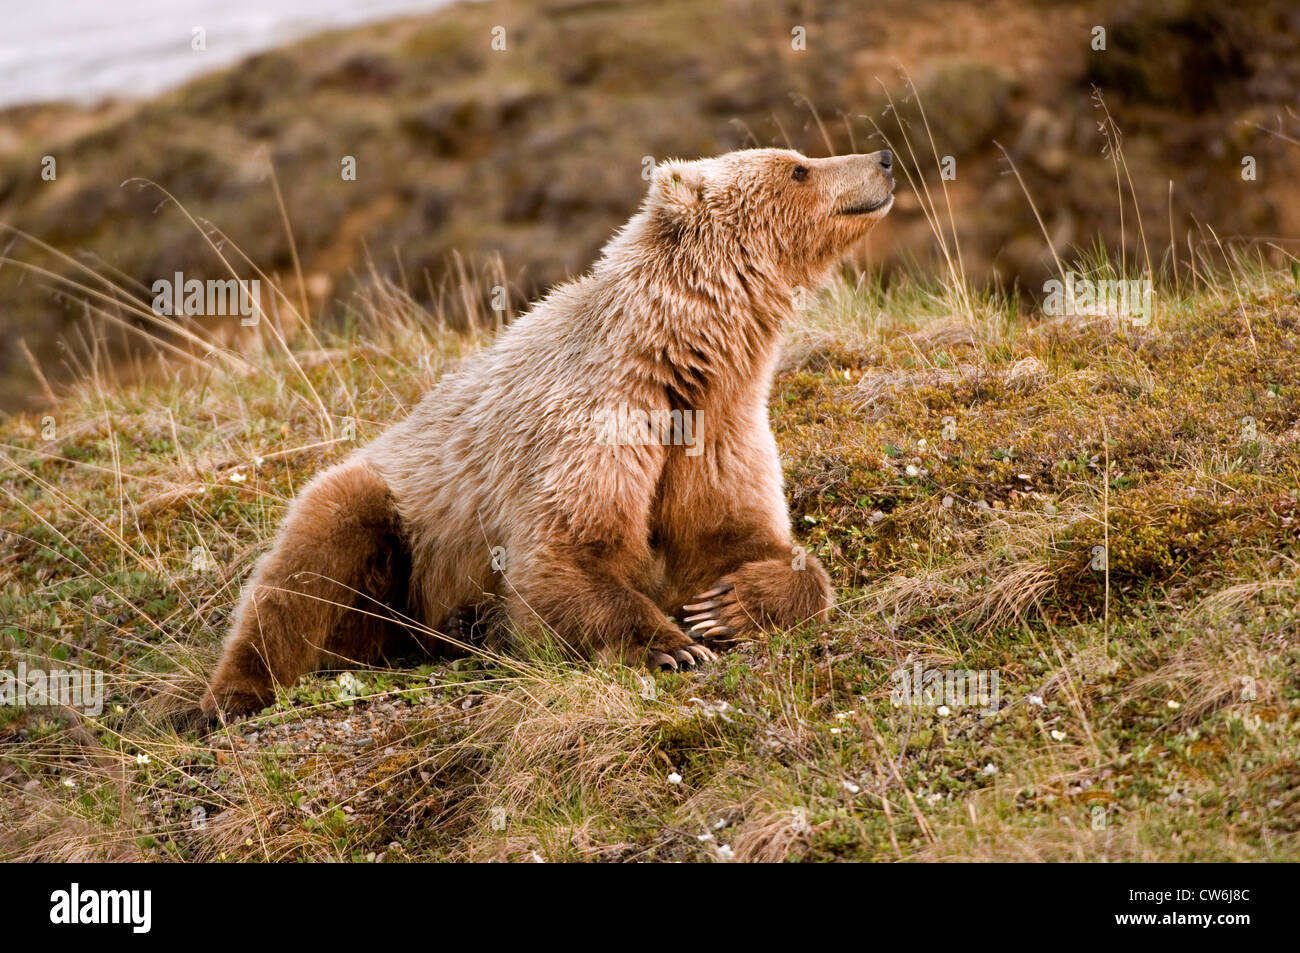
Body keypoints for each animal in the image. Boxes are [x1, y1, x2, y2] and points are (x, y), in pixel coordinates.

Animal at [200, 146, 894, 712]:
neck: (678, 365)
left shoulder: (719, 431)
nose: (884, 158)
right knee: (304, 566)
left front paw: (726, 605)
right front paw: (669, 644)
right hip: (395, 511)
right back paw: (232, 695)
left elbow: (742, 536)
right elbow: (563, 555)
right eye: (798, 168)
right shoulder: (589, 425)